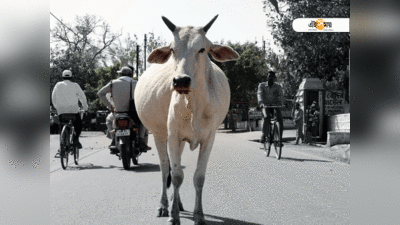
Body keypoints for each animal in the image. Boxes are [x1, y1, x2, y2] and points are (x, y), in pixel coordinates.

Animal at [134, 14, 241, 224]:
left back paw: (179, 203)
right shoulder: (173, 136)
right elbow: (176, 175)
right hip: (160, 135)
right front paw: (174, 216)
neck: (194, 105)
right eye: (172, 49)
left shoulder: (209, 139)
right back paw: (164, 205)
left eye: (202, 49)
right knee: (165, 169)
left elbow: (199, 177)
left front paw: (199, 215)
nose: (181, 81)